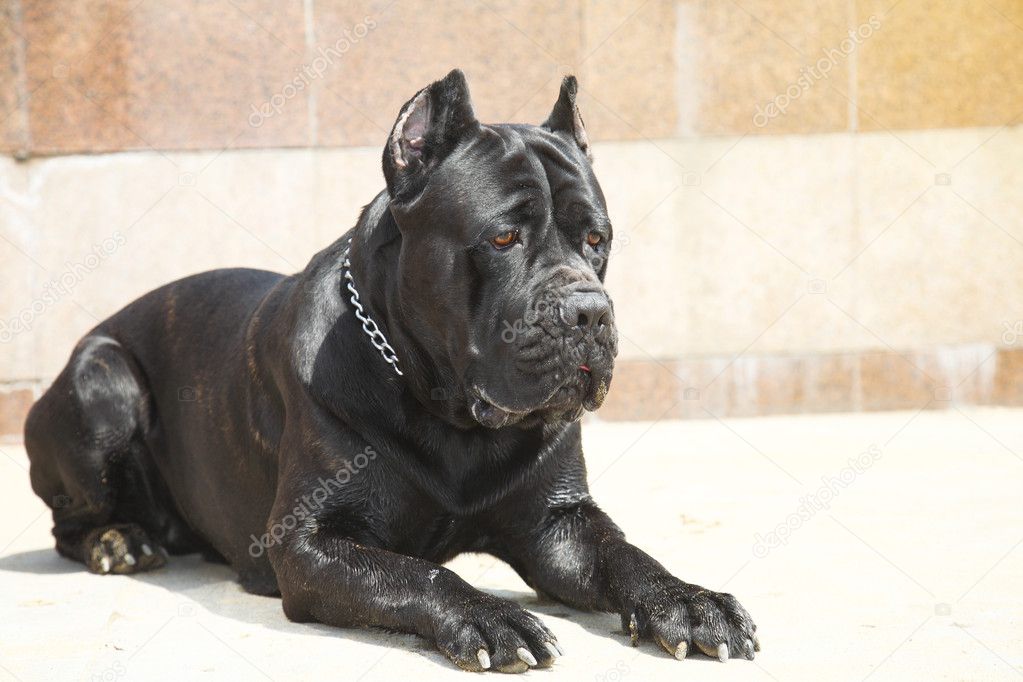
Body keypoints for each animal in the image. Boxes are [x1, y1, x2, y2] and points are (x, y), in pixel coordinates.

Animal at [25, 69, 761, 670]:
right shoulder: (311, 543)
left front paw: (688, 601)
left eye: (596, 240)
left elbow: (623, 554)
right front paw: (488, 617)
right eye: (502, 237)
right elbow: (418, 575)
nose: (589, 311)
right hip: (102, 383)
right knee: (67, 522)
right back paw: (119, 542)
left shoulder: (557, 524)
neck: (449, 412)